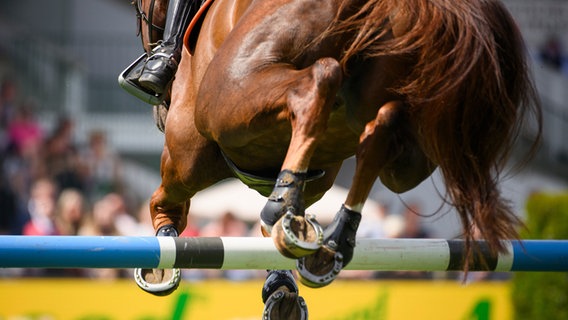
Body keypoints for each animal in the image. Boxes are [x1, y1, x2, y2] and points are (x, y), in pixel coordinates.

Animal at [132, 0, 540, 316]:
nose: (159, 111)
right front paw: (284, 276)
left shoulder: (186, 153)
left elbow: (163, 204)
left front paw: (161, 264)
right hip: (412, 131)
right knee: (382, 127)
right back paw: (334, 240)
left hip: (226, 97)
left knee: (318, 81)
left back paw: (288, 211)